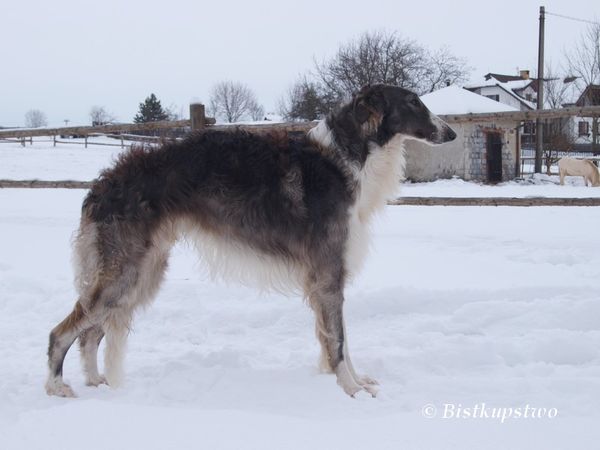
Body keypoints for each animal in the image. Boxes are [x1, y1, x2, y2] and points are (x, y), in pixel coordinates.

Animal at [47, 83, 458, 398]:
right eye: (413, 102)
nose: (450, 133)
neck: (345, 156)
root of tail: (99, 187)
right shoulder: (328, 272)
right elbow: (339, 341)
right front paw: (351, 389)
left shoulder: (323, 278)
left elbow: (334, 339)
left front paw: (353, 382)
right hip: (124, 272)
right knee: (61, 333)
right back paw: (56, 387)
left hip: (141, 272)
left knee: (89, 335)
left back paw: (96, 383)